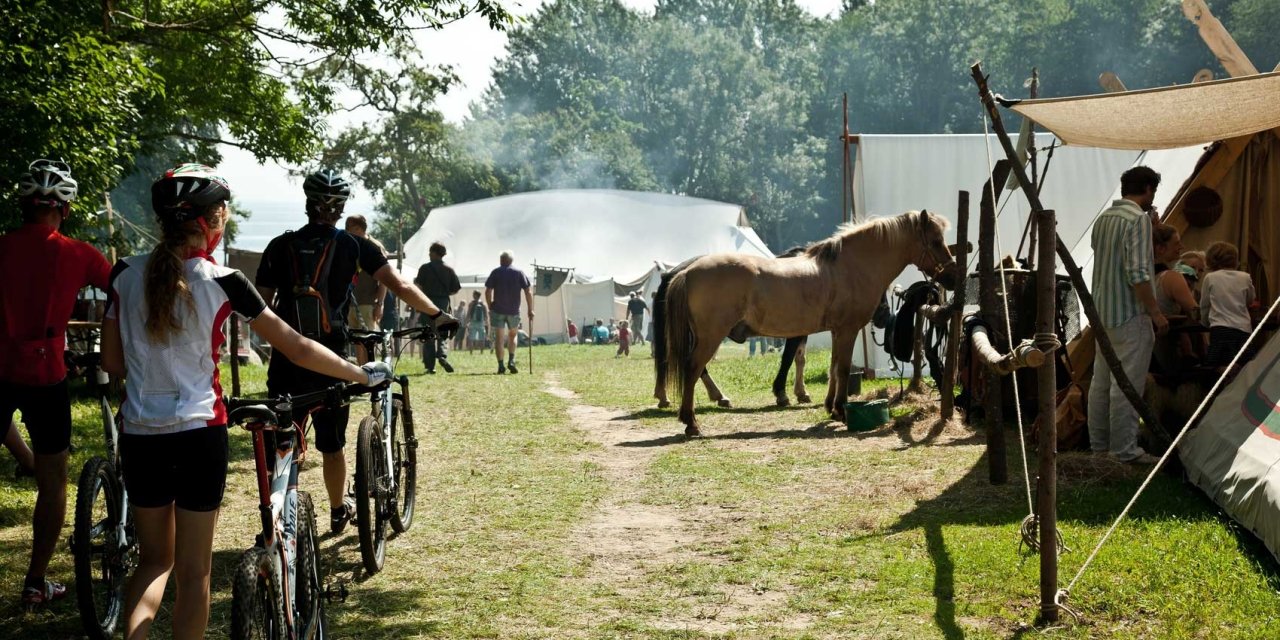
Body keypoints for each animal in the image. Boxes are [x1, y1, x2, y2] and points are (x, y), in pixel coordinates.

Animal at [665, 209, 957, 435]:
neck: (851, 266)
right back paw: (691, 423)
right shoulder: (848, 330)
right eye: (934, 240)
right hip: (710, 337)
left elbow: (834, 367)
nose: (952, 277)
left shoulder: (837, 331)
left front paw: (831, 408)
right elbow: (842, 369)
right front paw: (841, 411)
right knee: (693, 369)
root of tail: (688, 272)